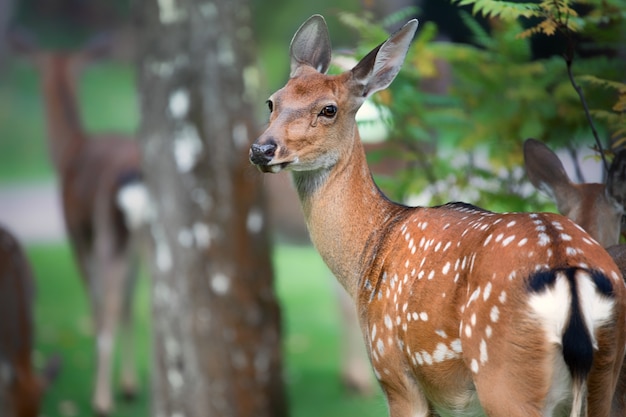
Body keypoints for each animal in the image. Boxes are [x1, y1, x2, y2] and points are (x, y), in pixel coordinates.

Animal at [8, 30, 147, 414]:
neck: (68, 151)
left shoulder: (74, 230)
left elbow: (96, 301)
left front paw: (109, 387)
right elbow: (129, 303)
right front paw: (129, 384)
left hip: (106, 229)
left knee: (108, 301)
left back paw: (101, 399)